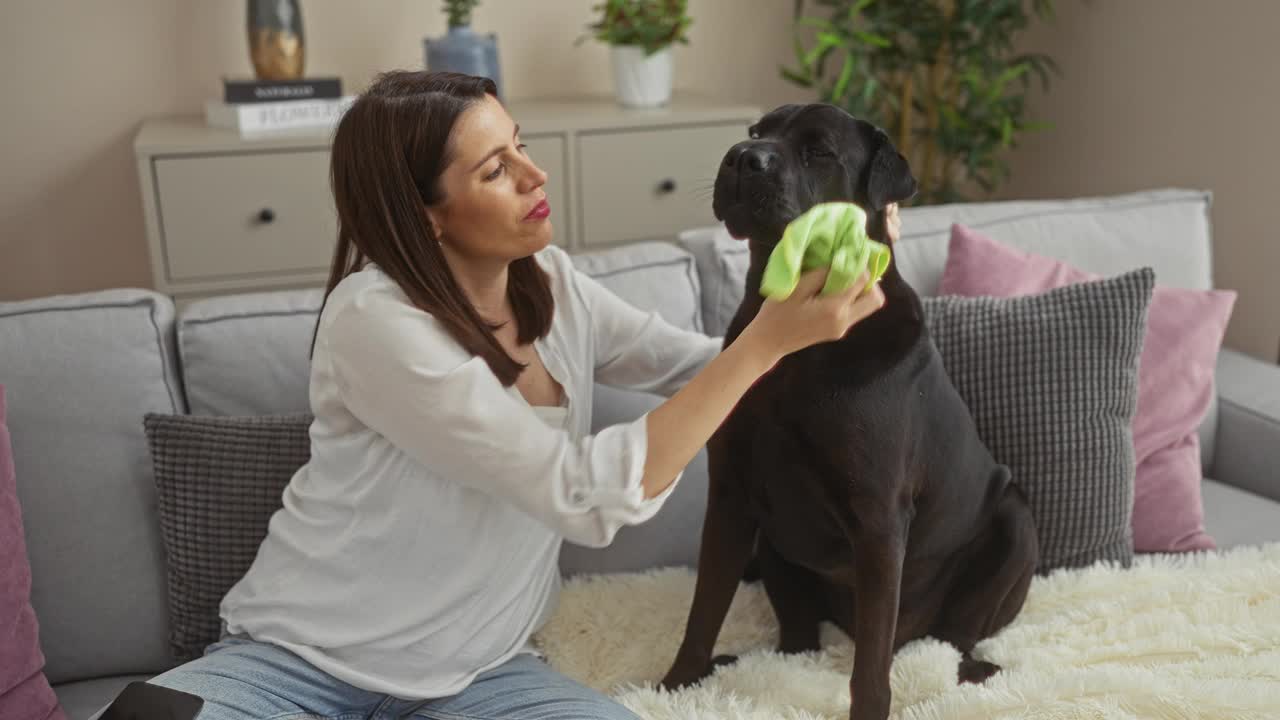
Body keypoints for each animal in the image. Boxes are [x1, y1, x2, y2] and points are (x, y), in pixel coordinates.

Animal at [660, 103, 1039, 717]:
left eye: (819, 151)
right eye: (756, 132)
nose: (742, 158)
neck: (797, 349)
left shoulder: (879, 517)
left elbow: (870, 668)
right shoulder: (731, 496)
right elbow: (705, 609)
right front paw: (675, 684)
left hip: (1014, 521)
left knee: (951, 638)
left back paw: (972, 668)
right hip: (778, 548)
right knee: (798, 636)